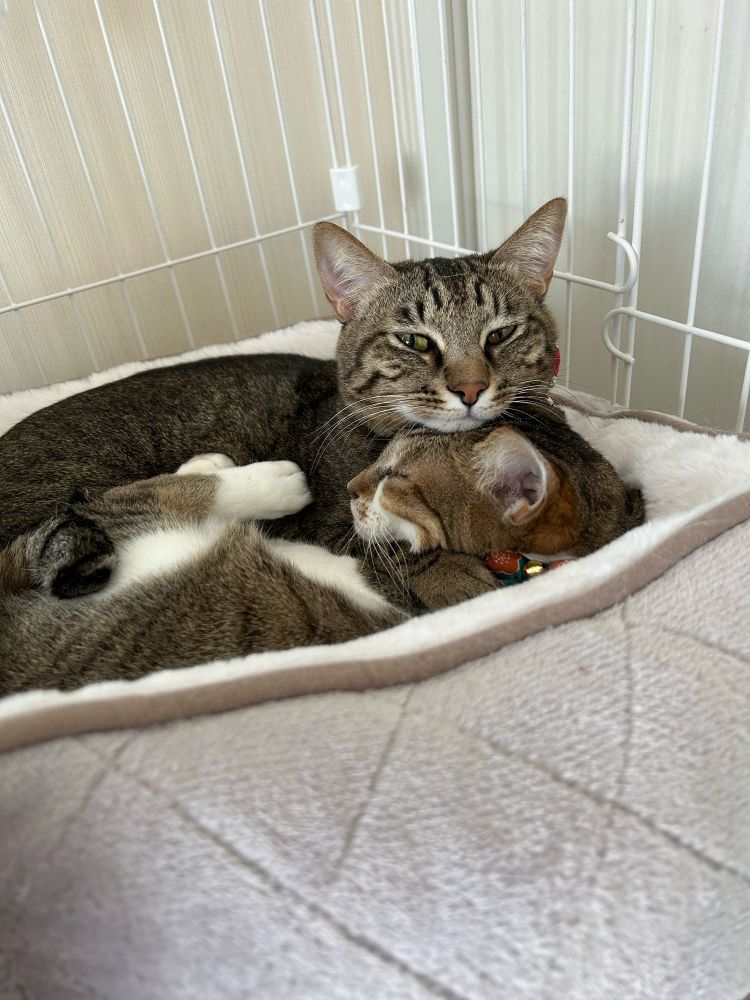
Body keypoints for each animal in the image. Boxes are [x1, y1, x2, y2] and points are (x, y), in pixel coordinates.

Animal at [0, 199, 568, 608]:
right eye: (414, 341)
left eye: (502, 334)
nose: (470, 389)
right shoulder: (336, 519)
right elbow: (387, 543)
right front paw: (452, 573)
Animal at [0, 410, 643, 695]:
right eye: (383, 456)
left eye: (395, 476)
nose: (352, 487)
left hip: (144, 528)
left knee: (150, 497)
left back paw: (267, 479)